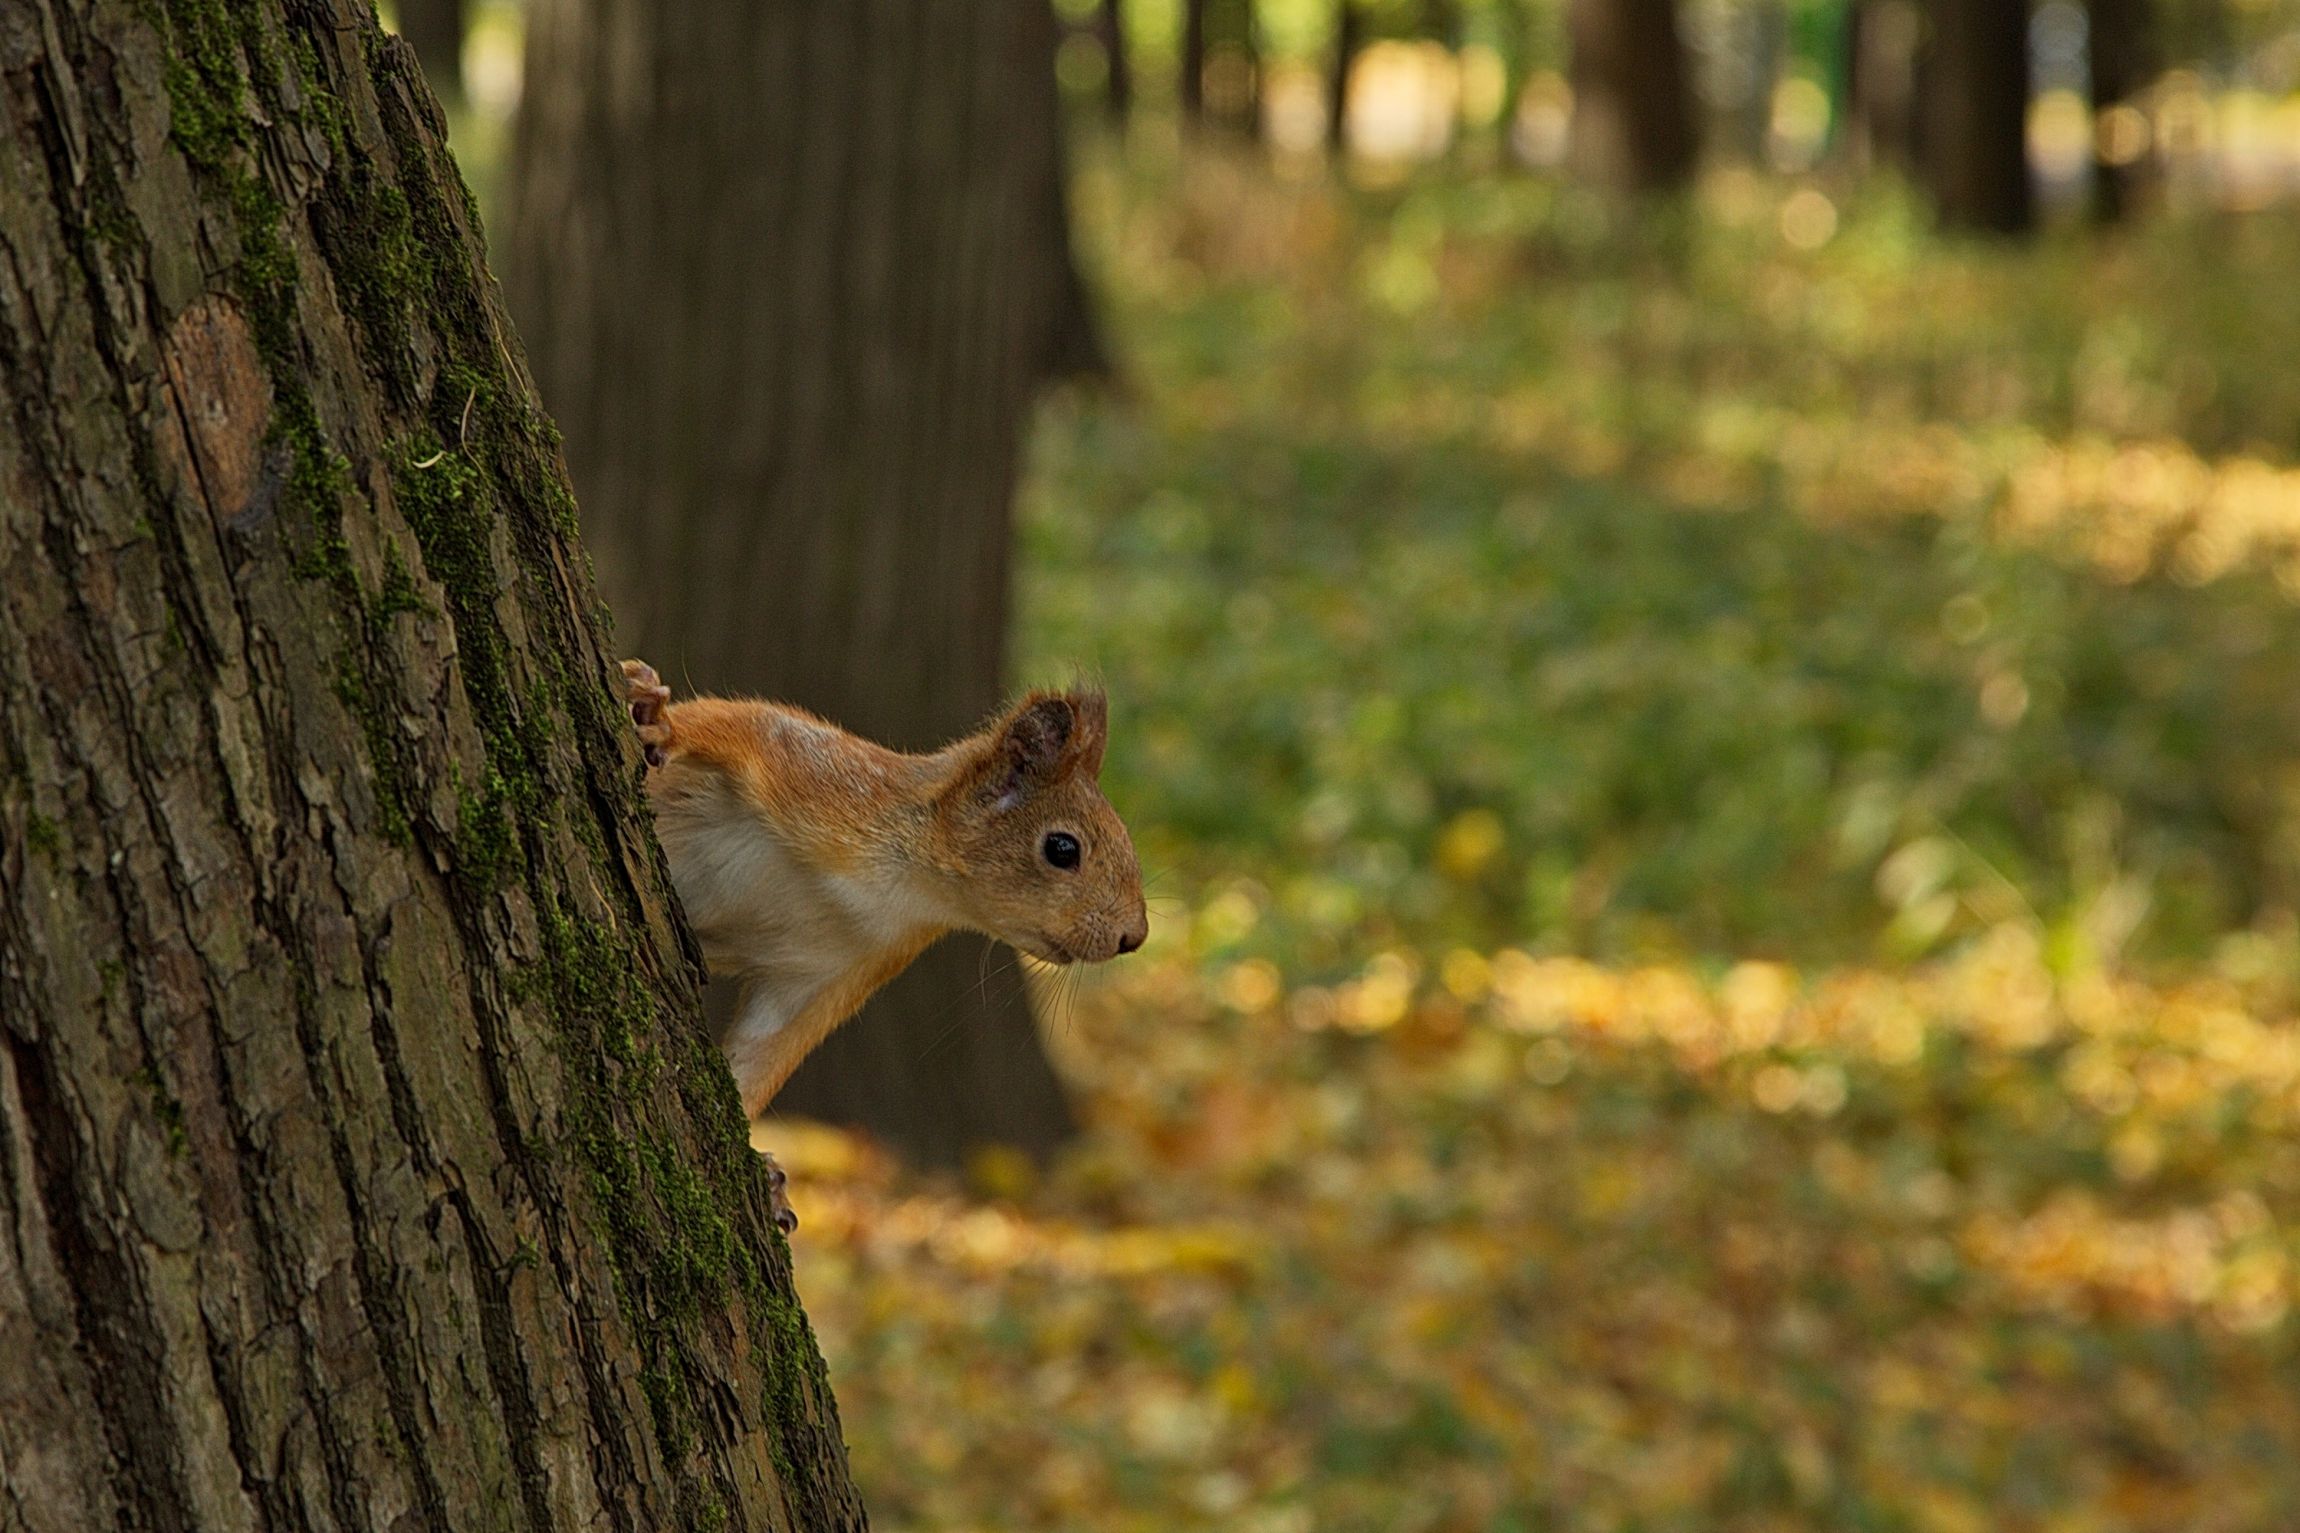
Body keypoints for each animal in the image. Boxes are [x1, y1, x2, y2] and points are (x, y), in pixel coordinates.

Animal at [621, 652, 1150, 1231]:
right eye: (1062, 848)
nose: (1133, 935)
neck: (905, 889)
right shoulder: (812, 770)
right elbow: (726, 726)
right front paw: (657, 717)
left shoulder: (833, 970)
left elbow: (764, 1051)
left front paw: (760, 1165)